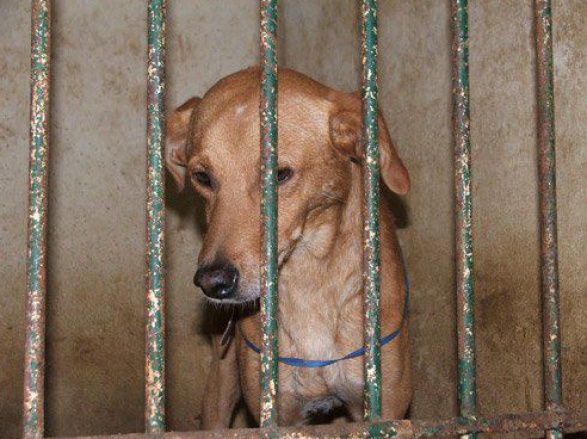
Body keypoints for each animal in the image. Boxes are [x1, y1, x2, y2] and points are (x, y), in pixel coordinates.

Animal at [166, 66, 411, 428]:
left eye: (279, 174)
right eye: (202, 177)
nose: (213, 282)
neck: (308, 279)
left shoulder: (385, 411)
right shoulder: (279, 414)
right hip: (222, 380)